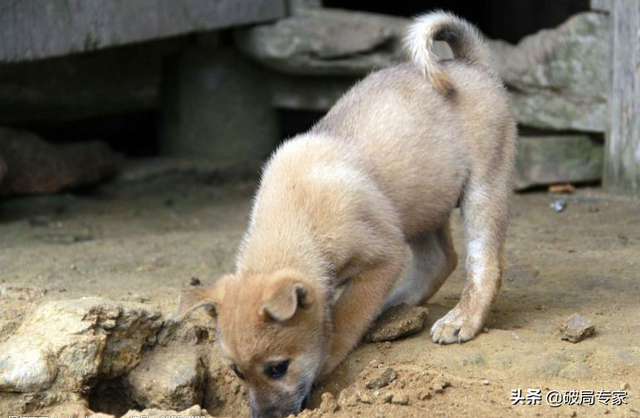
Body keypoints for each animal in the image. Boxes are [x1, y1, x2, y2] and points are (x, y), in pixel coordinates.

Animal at [178, 11, 516, 418]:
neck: (296, 218)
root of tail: (470, 63)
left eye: (278, 368)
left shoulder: (383, 256)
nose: (262, 416)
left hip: (483, 188)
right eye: (236, 372)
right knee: (440, 259)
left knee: (483, 264)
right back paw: (395, 305)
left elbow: (343, 318)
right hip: (416, 202)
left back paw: (461, 320)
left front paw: (328, 356)